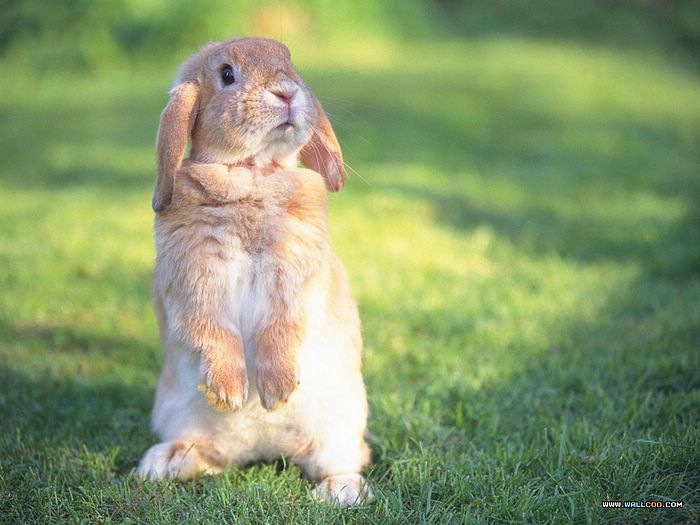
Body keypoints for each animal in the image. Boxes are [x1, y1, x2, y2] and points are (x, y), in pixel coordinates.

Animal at [136, 37, 373, 506]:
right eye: (227, 74)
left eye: (290, 62)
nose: (287, 92)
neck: (250, 173)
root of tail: (263, 449)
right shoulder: (194, 283)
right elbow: (214, 330)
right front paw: (229, 392)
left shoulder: (295, 281)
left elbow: (280, 328)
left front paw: (277, 391)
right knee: (209, 456)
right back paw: (162, 463)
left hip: (341, 423)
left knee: (343, 459)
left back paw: (340, 491)